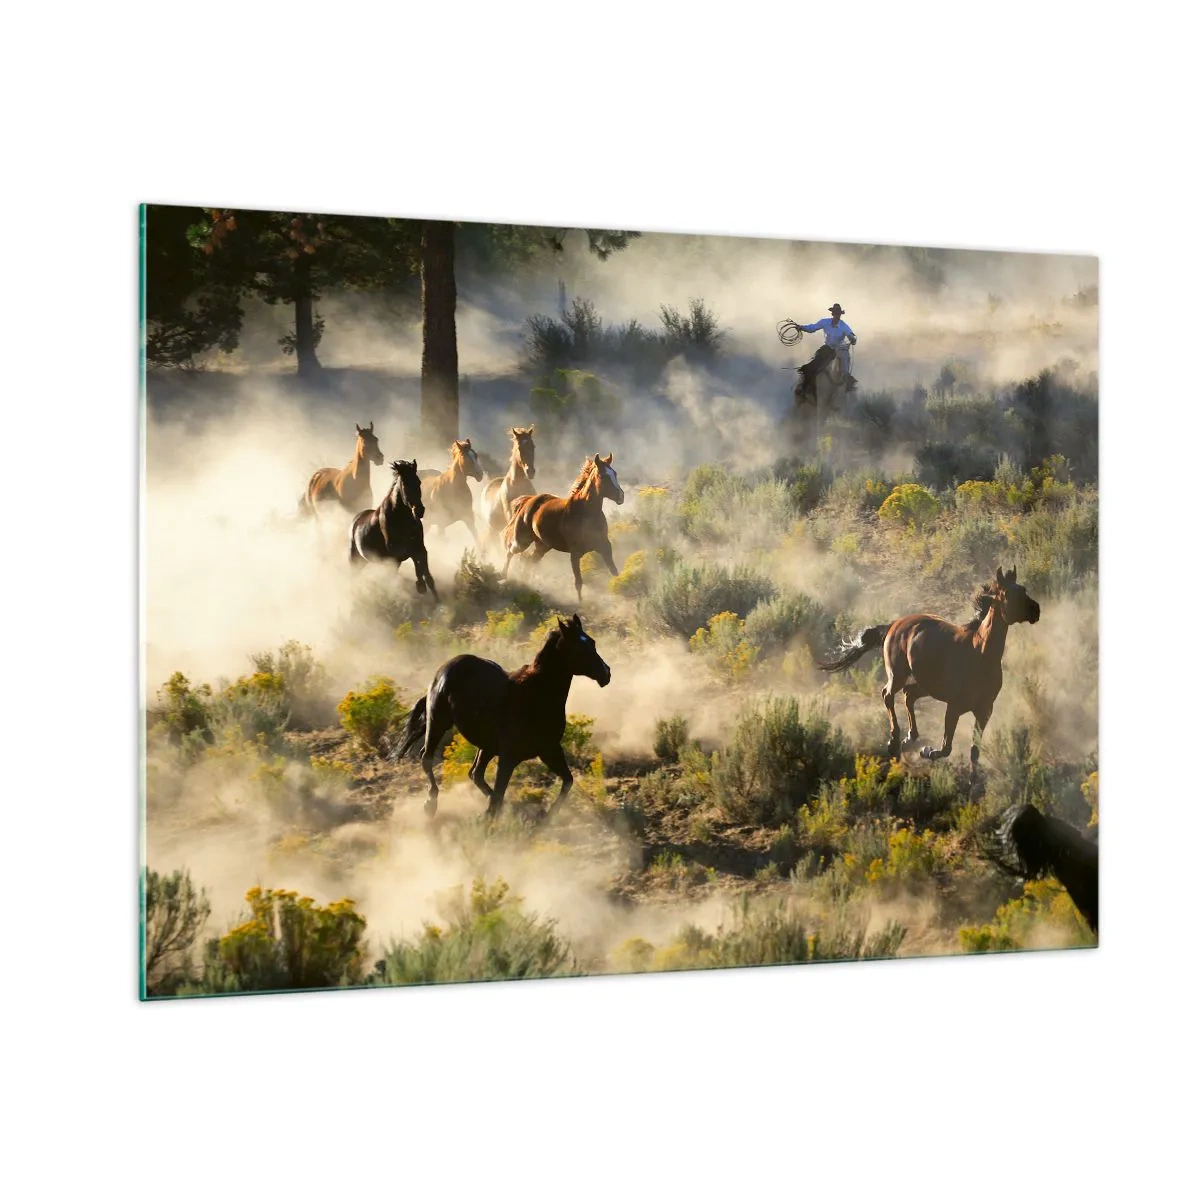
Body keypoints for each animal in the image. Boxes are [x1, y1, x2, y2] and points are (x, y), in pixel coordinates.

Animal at [347, 459, 438, 600]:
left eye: (418, 482)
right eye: (405, 484)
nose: (419, 511)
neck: (402, 519)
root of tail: (355, 521)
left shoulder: (420, 548)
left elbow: (428, 576)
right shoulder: (397, 553)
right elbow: (415, 559)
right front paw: (420, 585)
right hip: (355, 560)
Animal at [395, 613, 611, 819]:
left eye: (592, 642)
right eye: (579, 648)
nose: (606, 673)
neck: (536, 695)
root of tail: (443, 669)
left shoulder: (549, 749)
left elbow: (567, 780)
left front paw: (547, 817)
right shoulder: (509, 757)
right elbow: (498, 795)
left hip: (486, 745)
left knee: (475, 773)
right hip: (438, 721)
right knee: (427, 757)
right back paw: (430, 804)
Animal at [501, 453, 624, 603]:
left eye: (615, 473)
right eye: (603, 475)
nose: (621, 496)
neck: (586, 513)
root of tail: (528, 500)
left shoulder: (604, 547)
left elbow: (614, 572)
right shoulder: (575, 553)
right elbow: (578, 582)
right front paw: (581, 603)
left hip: (543, 546)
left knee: (529, 560)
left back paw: (525, 583)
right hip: (522, 541)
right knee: (510, 552)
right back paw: (504, 577)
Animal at [819, 567, 1041, 780]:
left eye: (1024, 589)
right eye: (1008, 594)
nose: (1036, 610)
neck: (980, 653)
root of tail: (896, 623)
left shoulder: (984, 710)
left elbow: (974, 750)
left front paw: (974, 780)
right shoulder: (954, 706)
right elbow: (946, 747)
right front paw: (927, 751)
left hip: (926, 684)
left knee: (908, 694)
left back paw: (909, 738)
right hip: (898, 674)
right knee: (888, 694)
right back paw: (894, 741)